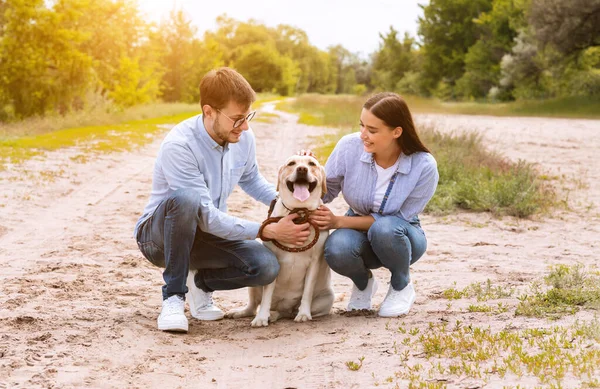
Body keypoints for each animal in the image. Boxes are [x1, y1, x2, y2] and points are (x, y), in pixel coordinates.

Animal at [227, 154, 336, 324]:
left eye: (312, 164)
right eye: (291, 163)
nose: (302, 169)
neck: (299, 211)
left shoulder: (314, 263)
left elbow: (307, 291)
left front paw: (304, 314)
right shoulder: (275, 261)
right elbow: (267, 294)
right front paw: (261, 317)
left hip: (327, 298)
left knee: (287, 312)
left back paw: (285, 313)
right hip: (253, 285)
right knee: (253, 305)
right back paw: (246, 312)